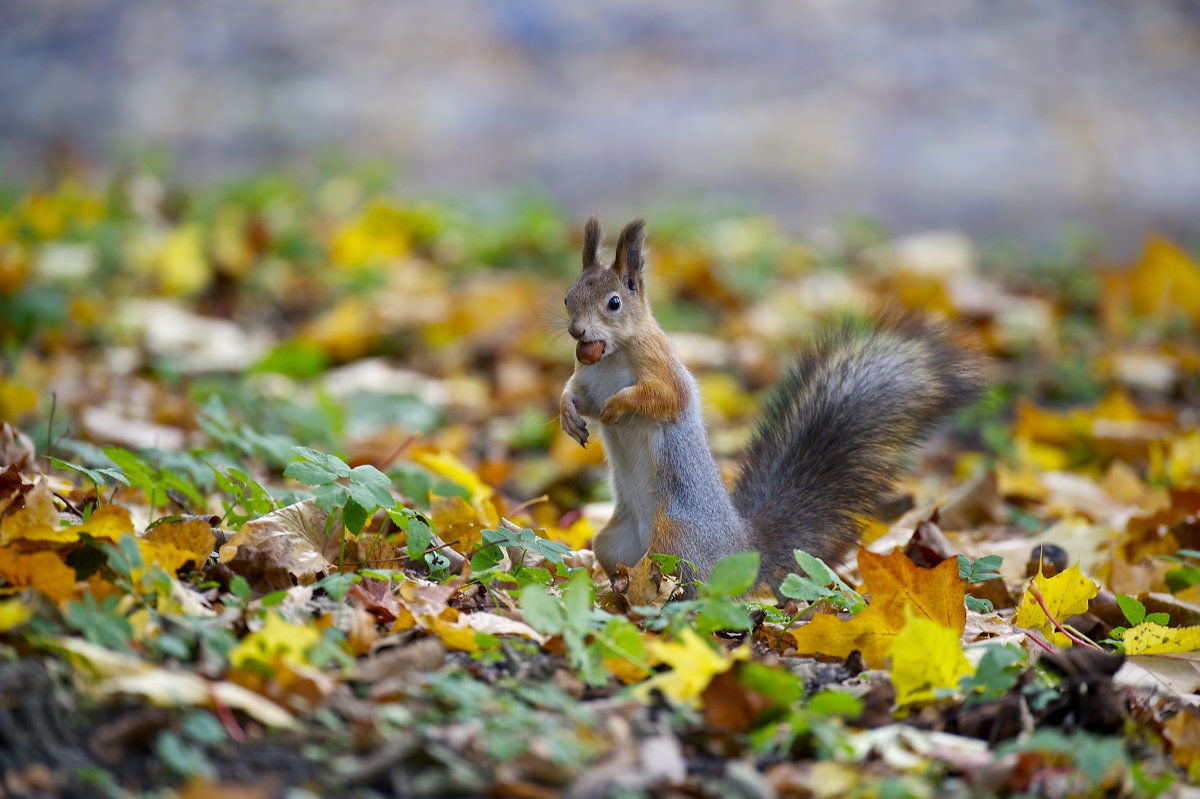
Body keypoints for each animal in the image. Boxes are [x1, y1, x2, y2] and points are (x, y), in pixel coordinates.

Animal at [556, 215, 979, 590]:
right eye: (567, 297)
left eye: (614, 303)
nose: (576, 331)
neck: (611, 355)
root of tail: (738, 548)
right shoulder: (588, 377)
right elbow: (577, 396)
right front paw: (569, 415)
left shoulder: (661, 367)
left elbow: (660, 397)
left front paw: (617, 406)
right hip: (613, 542)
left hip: (674, 539)